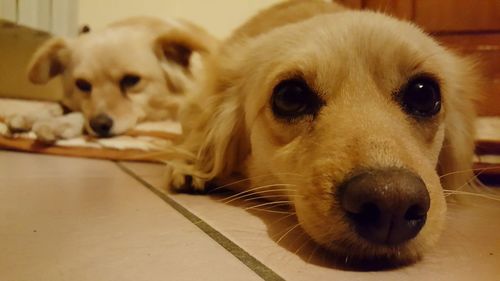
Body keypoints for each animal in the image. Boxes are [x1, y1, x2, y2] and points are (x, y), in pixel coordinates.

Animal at [5, 17, 217, 142]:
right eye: (82, 84)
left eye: (131, 80)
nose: (100, 125)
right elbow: (57, 105)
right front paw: (30, 116)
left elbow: (79, 114)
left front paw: (59, 124)